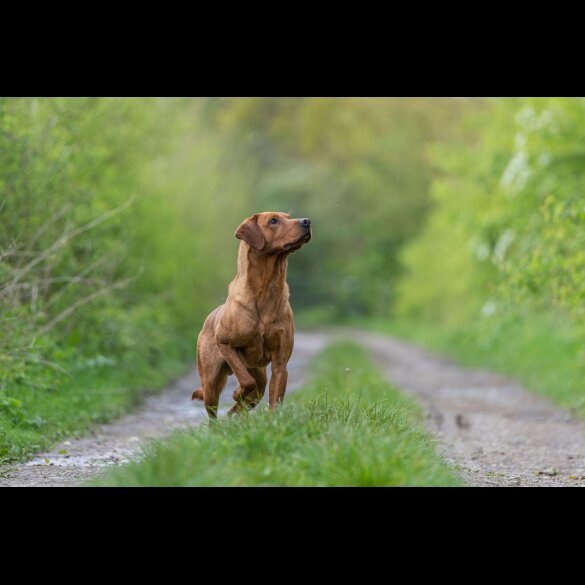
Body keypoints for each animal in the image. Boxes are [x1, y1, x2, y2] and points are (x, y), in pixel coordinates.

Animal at [192, 212, 310, 418]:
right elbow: (246, 381)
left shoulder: (280, 364)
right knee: (214, 412)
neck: (266, 289)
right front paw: (238, 392)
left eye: (289, 217)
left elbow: (274, 399)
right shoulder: (224, 343)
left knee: (254, 393)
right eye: (273, 220)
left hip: (259, 373)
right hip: (210, 381)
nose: (307, 221)